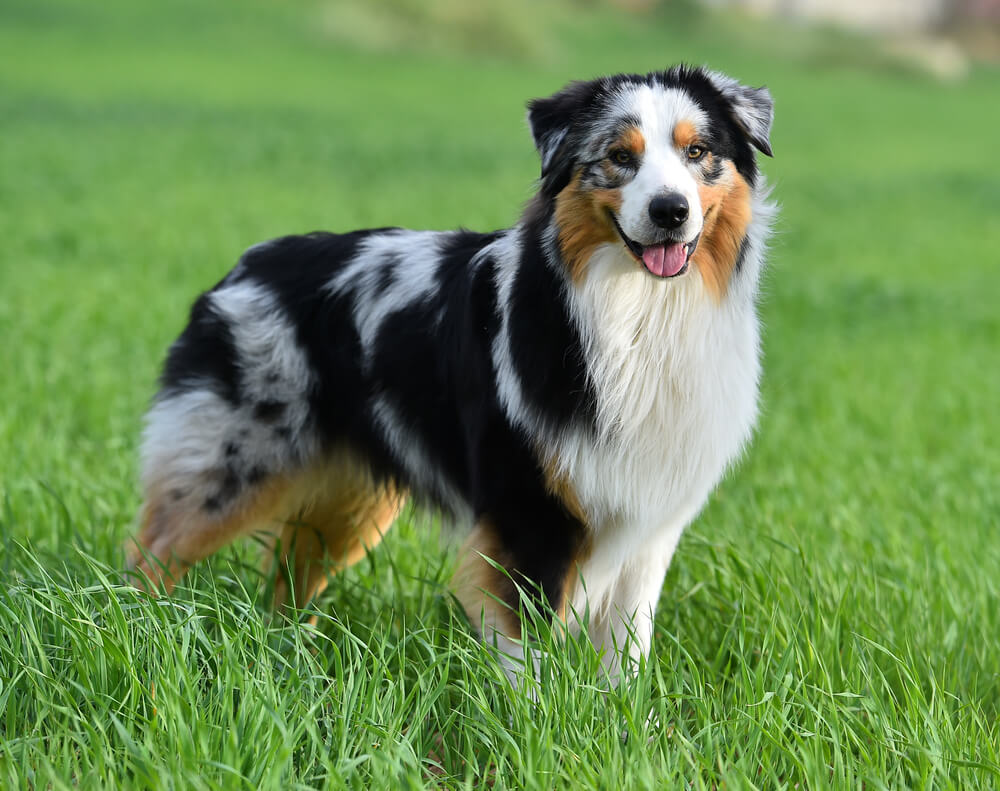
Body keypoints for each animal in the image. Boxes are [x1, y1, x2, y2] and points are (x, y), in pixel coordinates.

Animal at [129, 66, 776, 688]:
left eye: (697, 152)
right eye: (620, 155)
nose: (670, 210)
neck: (641, 313)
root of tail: (245, 265)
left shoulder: (648, 516)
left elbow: (626, 647)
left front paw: (620, 716)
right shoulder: (525, 510)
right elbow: (526, 645)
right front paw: (538, 719)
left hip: (348, 495)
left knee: (289, 575)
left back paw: (291, 658)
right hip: (233, 459)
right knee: (152, 550)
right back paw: (139, 635)